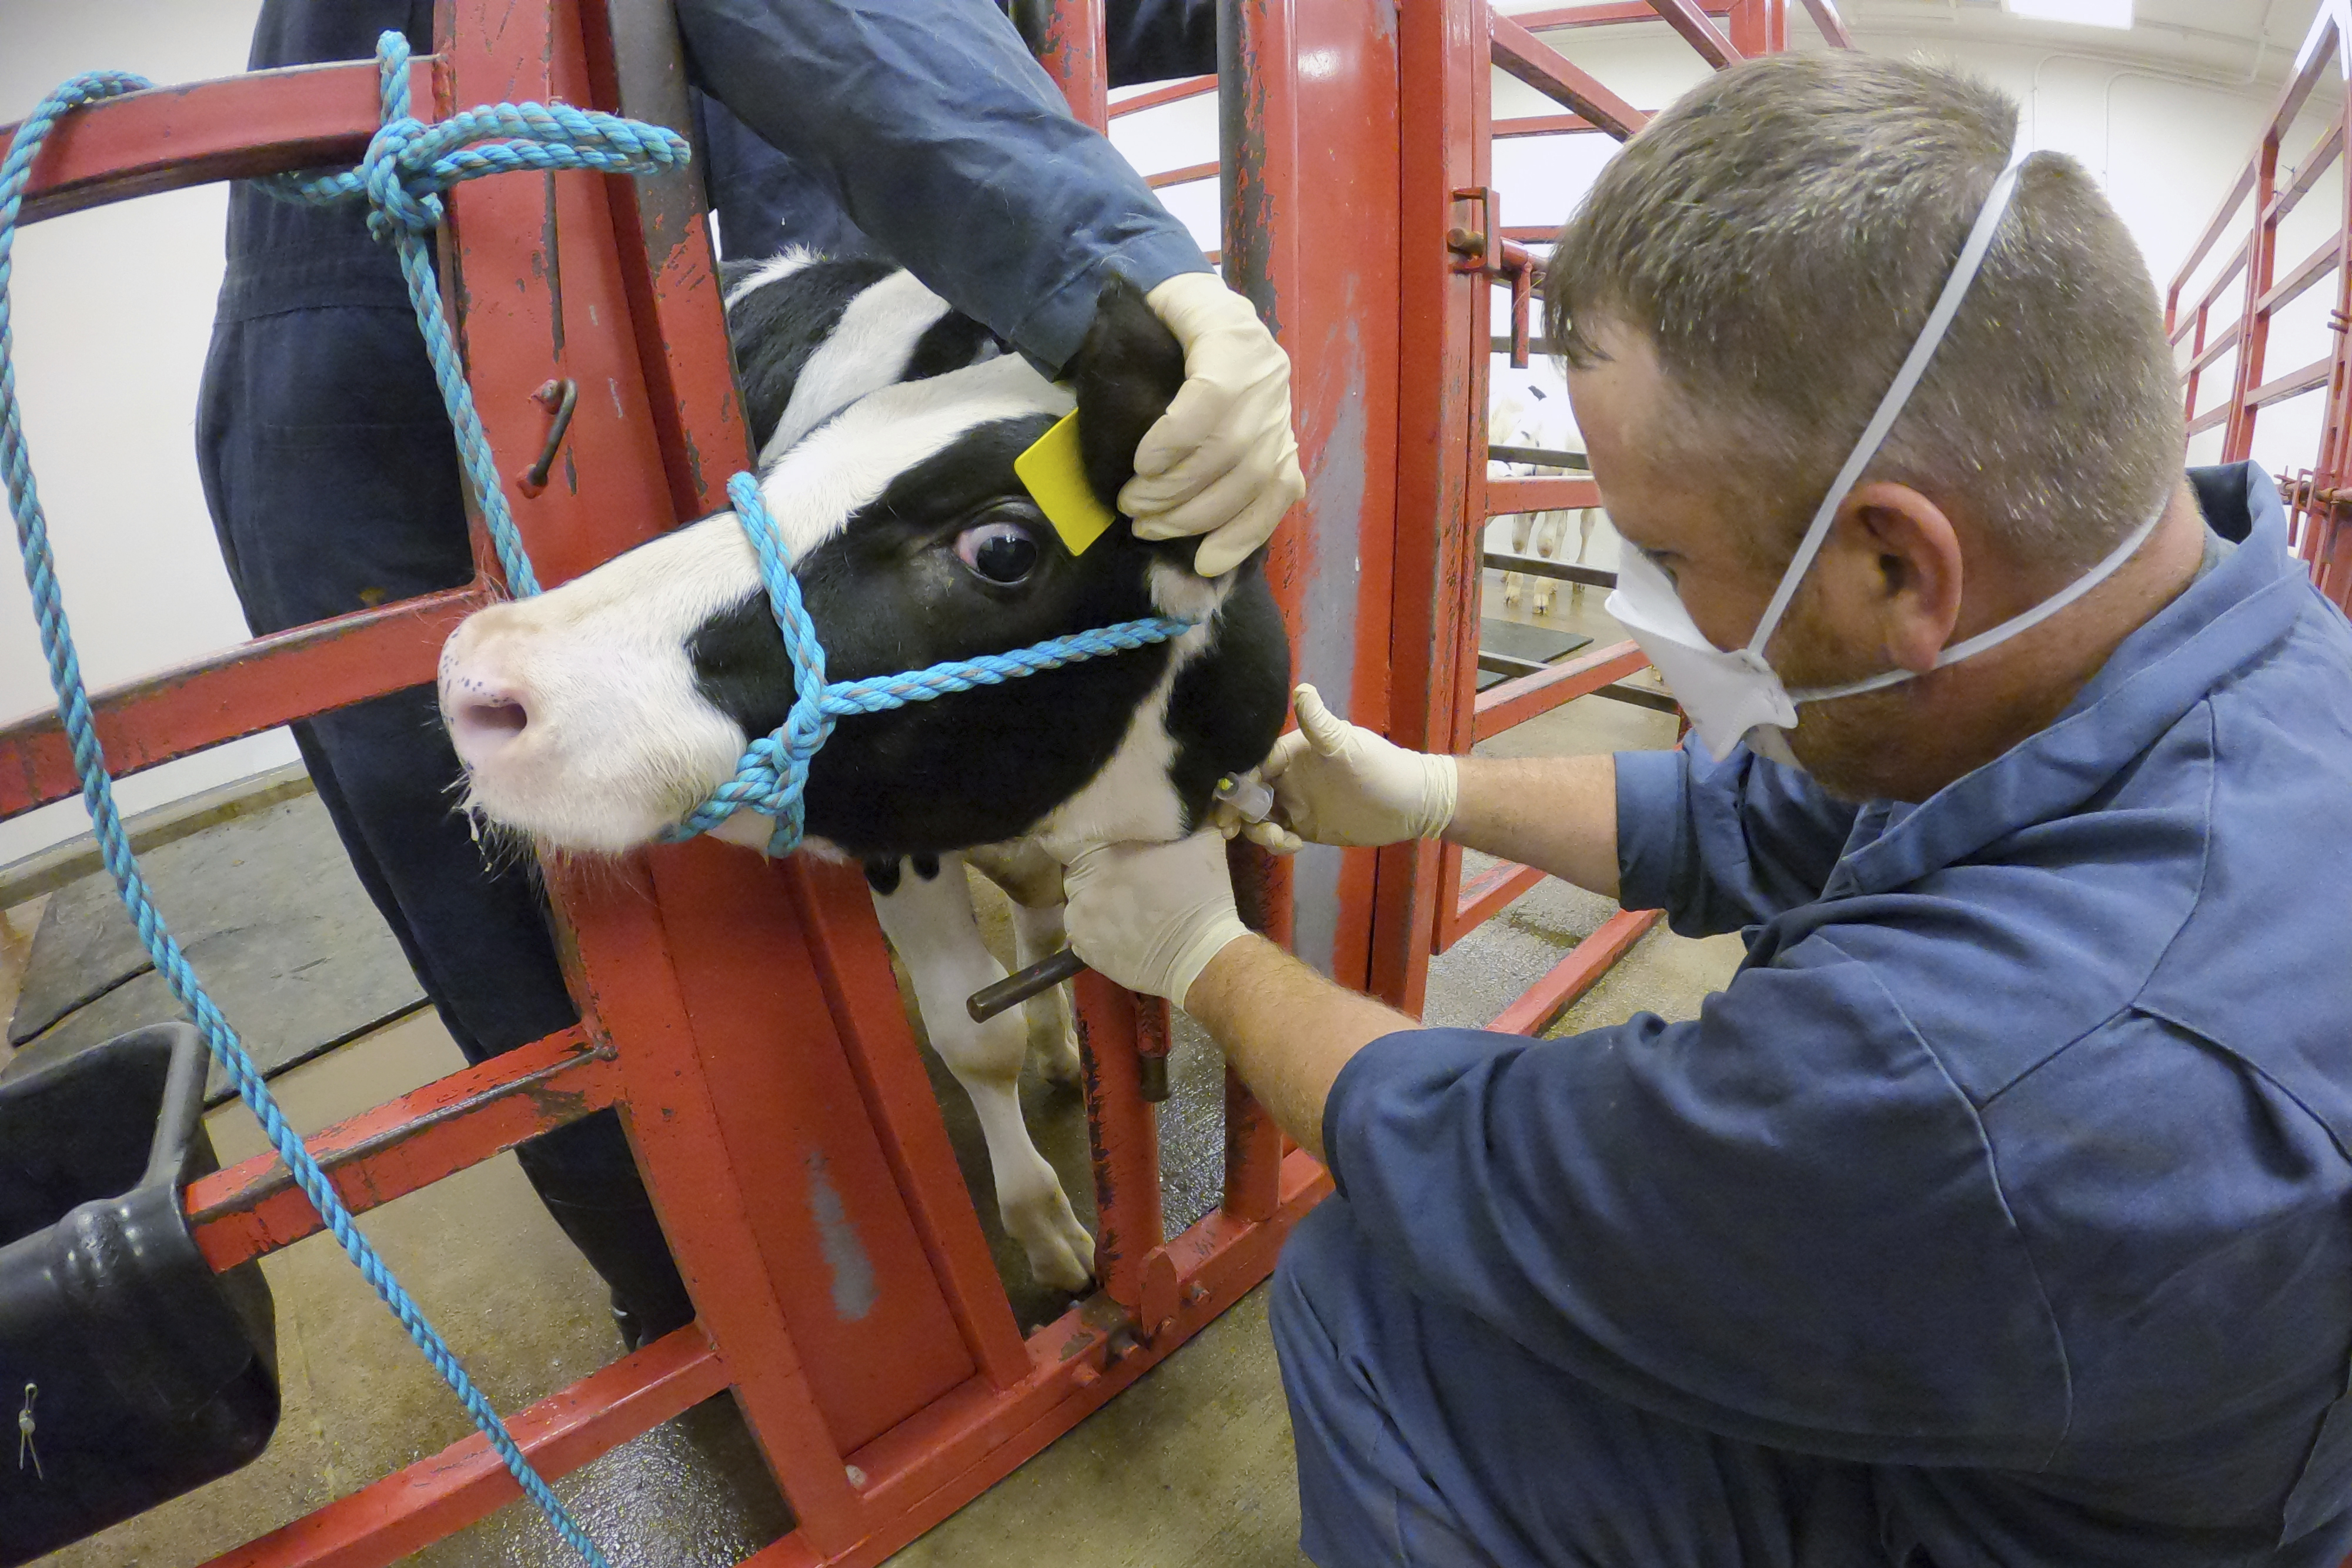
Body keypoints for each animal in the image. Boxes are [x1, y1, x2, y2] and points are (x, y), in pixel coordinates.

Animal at [437, 255, 1289, 1288]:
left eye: (1005, 547)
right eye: (786, 459)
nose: (480, 677)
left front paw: (1060, 1064)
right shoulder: (898, 841)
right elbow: (977, 1031)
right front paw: (1045, 1228)